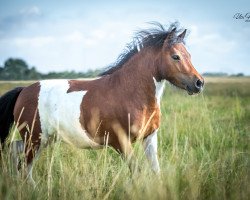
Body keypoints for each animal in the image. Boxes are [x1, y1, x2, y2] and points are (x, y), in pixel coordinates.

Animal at [0, 22, 203, 184]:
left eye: (189, 55)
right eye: (175, 56)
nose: (199, 83)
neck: (130, 92)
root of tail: (24, 90)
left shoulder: (149, 138)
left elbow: (155, 171)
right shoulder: (121, 142)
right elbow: (137, 172)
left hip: (41, 140)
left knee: (13, 152)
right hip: (34, 140)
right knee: (25, 169)